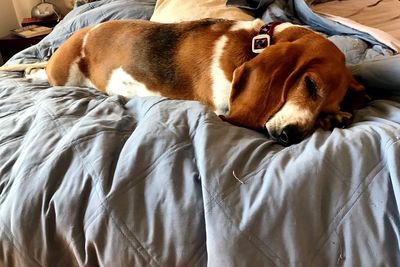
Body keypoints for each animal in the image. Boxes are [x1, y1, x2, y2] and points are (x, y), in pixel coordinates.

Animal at [45, 19, 368, 146]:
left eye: (326, 108)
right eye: (310, 84)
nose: (291, 136)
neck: (256, 43)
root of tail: (86, 30)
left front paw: (339, 117)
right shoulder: (223, 109)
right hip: (63, 75)